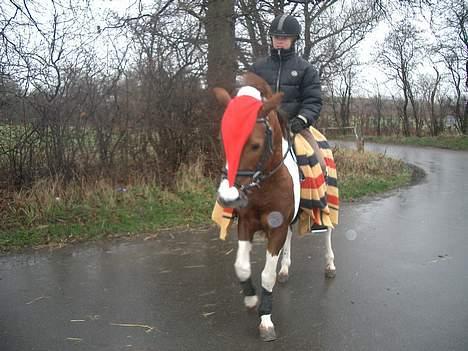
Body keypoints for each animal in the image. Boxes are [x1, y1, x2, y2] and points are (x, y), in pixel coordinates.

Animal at [212, 72, 336, 344]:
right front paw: (250, 298)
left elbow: (266, 275)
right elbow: (242, 267)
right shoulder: (248, 224)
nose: (228, 198)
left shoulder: (276, 229)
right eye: (223, 139)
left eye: (255, 145)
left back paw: (330, 265)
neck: (266, 182)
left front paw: (266, 319)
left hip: (328, 203)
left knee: (329, 232)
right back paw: (285, 269)